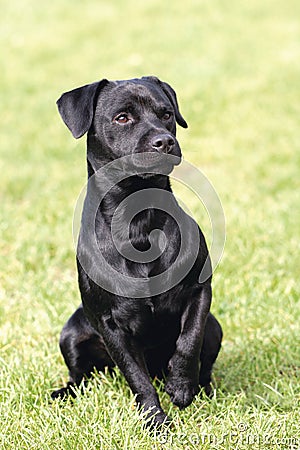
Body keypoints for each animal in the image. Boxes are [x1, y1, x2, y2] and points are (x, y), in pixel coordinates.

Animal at [51, 76, 221, 426]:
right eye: (122, 118)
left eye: (167, 113)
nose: (164, 141)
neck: (138, 222)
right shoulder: (109, 325)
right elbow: (137, 378)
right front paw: (155, 422)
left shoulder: (200, 293)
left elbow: (189, 339)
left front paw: (181, 386)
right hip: (71, 332)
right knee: (78, 375)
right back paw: (64, 393)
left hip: (216, 327)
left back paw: (203, 388)